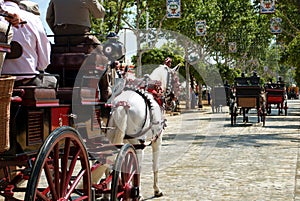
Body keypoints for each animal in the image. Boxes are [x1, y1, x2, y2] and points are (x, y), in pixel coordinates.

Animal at [106, 65, 179, 198]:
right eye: (176, 80)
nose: (174, 102)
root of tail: (123, 104)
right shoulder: (157, 139)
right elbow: (155, 165)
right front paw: (157, 190)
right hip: (138, 144)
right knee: (137, 167)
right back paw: (136, 192)